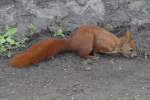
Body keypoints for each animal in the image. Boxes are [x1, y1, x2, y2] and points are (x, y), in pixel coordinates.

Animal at [9, 25, 138, 68]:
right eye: (131, 49)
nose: (136, 55)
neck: (118, 43)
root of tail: (71, 43)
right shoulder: (102, 45)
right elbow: (97, 49)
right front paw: (96, 55)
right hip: (87, 42)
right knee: (82, 54)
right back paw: (91, 57)